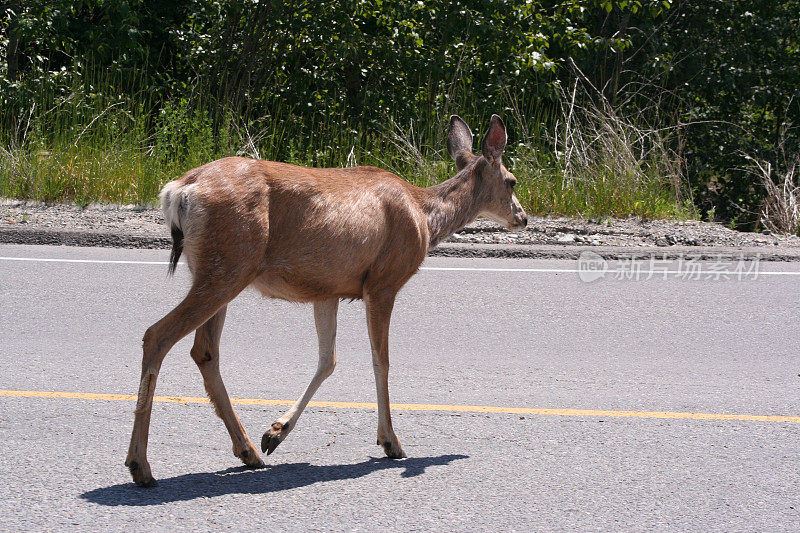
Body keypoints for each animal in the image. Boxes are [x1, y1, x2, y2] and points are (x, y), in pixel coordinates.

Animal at [125, 114, 528, 484]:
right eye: (511, 181)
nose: (523, 217)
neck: (425, 217)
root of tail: (179, 190)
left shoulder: (328, 290)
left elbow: (328, 360)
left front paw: (276, 432)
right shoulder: (382, 283)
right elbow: (381, 360)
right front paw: (390, 441)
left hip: (216, 269)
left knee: (205, 351)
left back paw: (248, 450)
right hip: (229, 266)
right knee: (157, 335)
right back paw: (140, 465)